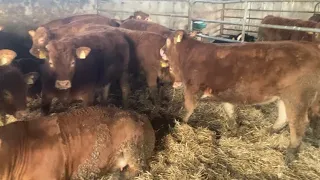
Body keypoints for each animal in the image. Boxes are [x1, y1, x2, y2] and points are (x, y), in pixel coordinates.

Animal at [160, 29, 320, 165]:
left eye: (167, 41)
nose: (161, 50)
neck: (188, 55)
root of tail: (312, 47)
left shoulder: (192, 89)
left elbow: (186, 109)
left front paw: (179, 125)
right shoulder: (222, 93)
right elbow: (229, 110)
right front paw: (233, 128)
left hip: (296, 98)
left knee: (298, 123)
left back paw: (290, 155)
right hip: (283, 97)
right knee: (284, 117)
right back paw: (269, 131)